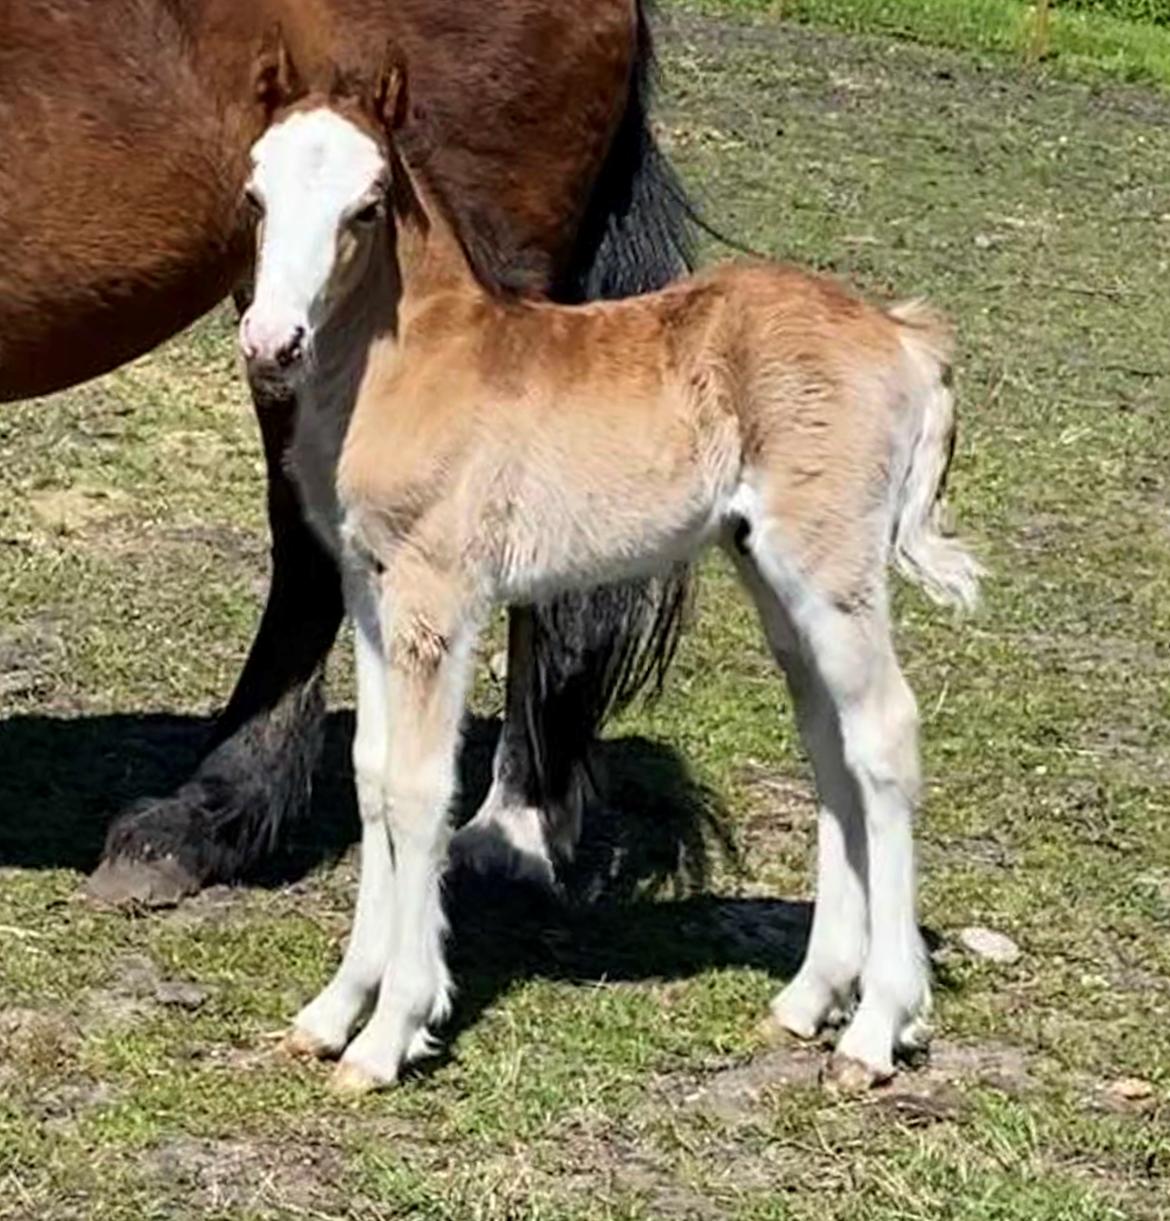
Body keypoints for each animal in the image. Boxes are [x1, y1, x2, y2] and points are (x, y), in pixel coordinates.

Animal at [243, 61, 986, 1094]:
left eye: (368, 204)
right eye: (255, 193)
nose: (271, 342)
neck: (411, 366)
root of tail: (904, 335)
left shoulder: (440, 598)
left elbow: (421, 792)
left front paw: (392, 1033)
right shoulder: (369, 593)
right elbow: (371, 775)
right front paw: (332, 1012)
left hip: (831, 567)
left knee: (884, 737)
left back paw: (877, 1028)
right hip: (771, 574)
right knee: (831, 747)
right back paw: (809, 999)